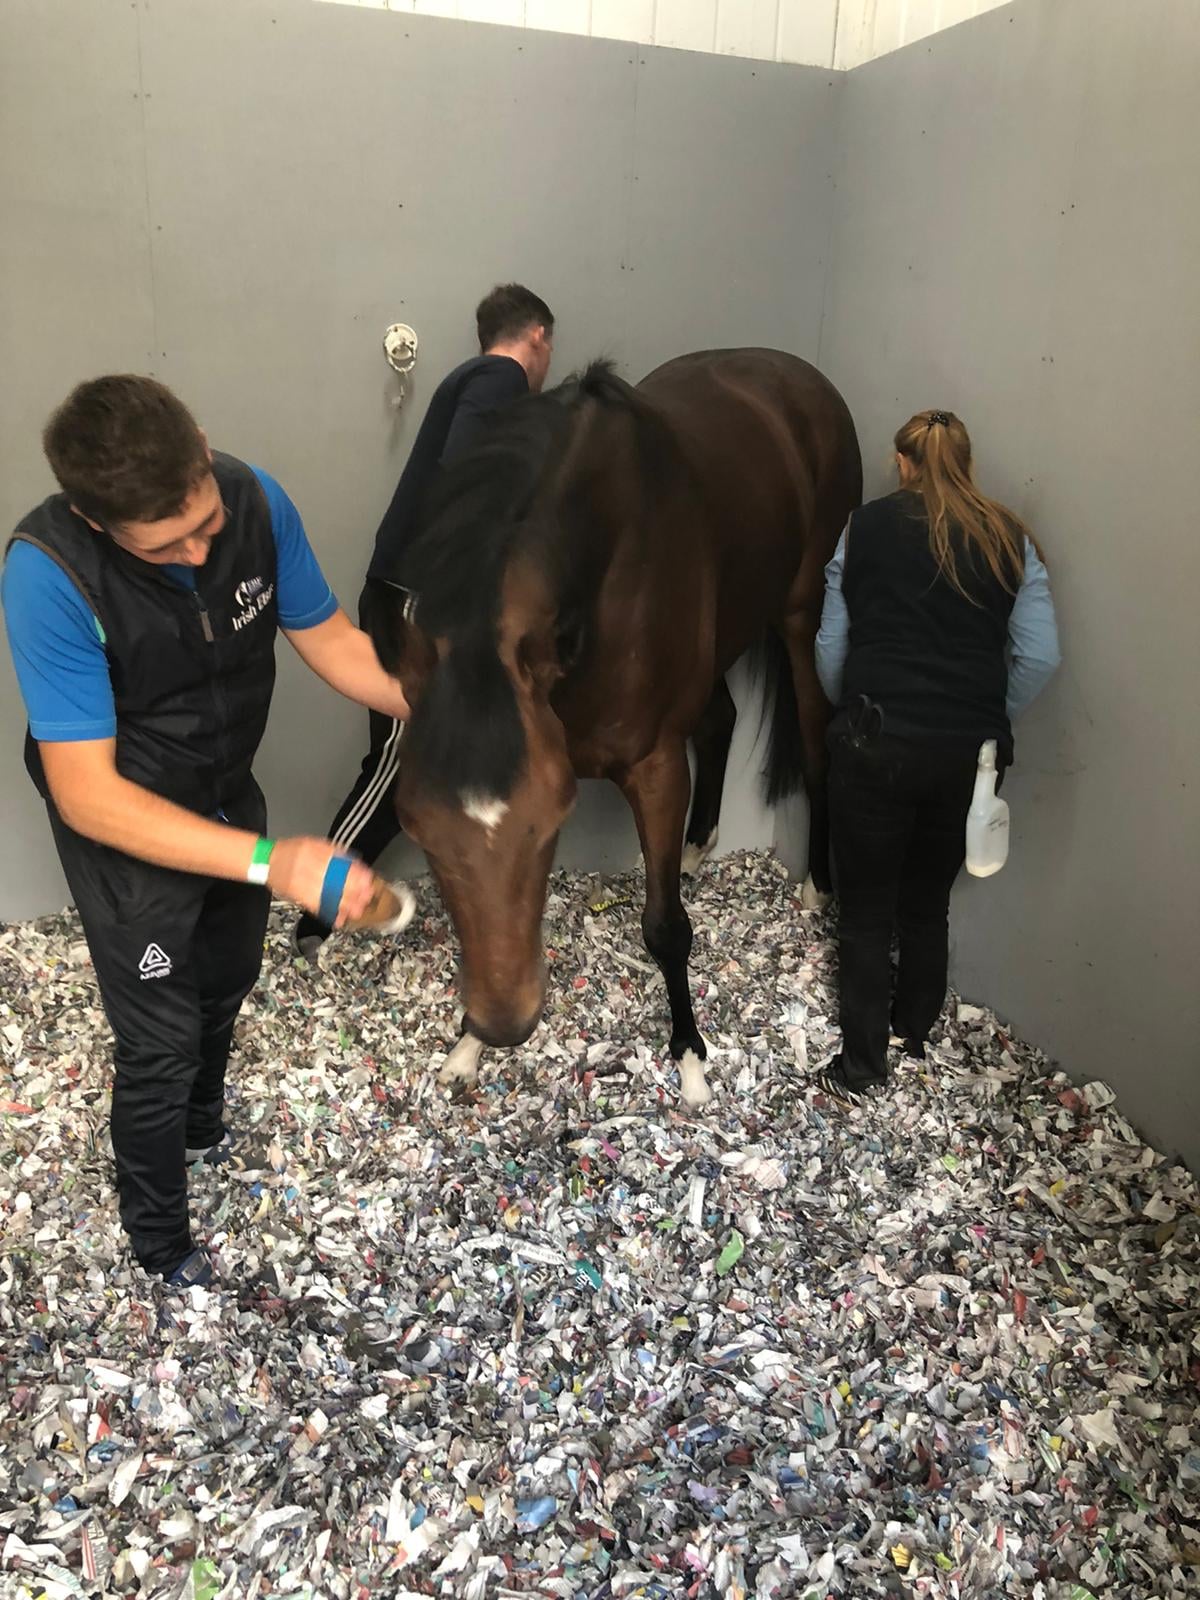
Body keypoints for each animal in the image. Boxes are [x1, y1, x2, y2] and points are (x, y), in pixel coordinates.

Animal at [365, 349, 862, 1107]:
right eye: (418, 827)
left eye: (548, 822)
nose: (504, 1023)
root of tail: (799, 374)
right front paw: (467, 1047)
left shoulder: (655, 768)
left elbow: (665, 927)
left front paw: (689, 1056)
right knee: (720, 721)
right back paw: (695, 849)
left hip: (803, 618)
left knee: (812, 741)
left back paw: (814, 886)